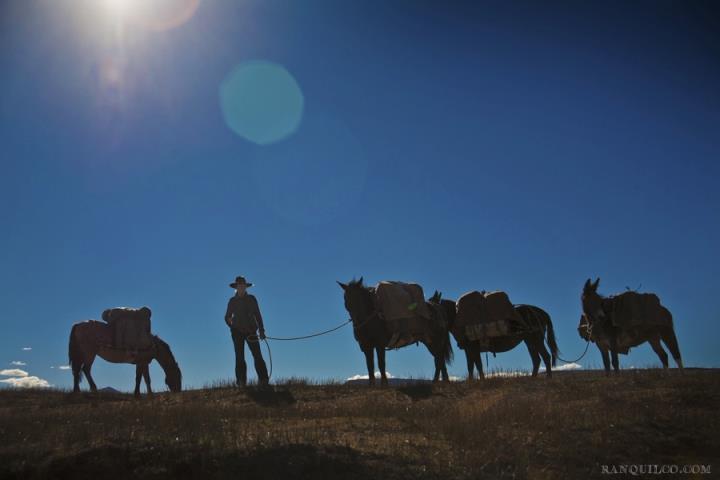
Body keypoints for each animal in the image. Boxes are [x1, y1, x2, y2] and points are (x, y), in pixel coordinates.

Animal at [430, 290, 560, 380]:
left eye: (430, 305)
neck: (458, 319)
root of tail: (542, 312)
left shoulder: (473, 348)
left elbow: (476, 365)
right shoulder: (469, 349)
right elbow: (473, 365)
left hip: (536, 339)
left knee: (545, 357)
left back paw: (548, 377)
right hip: (529, 341)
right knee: (536, 360)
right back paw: (533, 378)